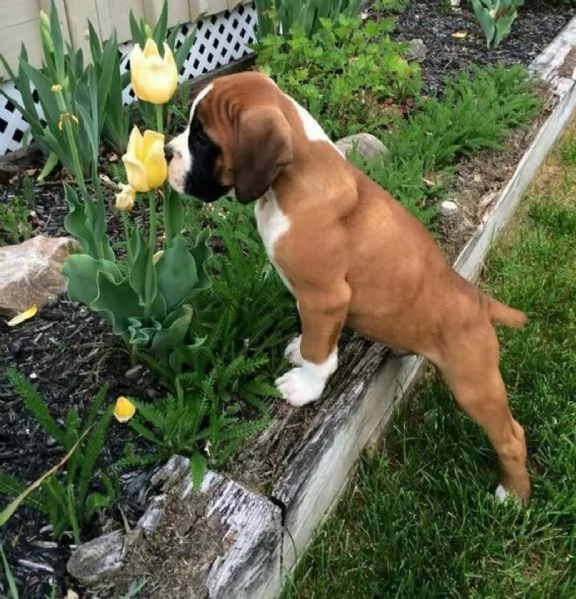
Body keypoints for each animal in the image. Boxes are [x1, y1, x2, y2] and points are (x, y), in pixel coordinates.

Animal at [164, 69, 528, 502]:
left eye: (202, 138)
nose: (166, 152)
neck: (293, 179)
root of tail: (480, 302)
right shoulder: (313, 304)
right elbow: (312, 337)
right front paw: (299, 351)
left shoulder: (326, 298)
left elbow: (320, 352)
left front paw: (305, 386)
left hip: (472, 383)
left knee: (512, 436)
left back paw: (513, 495)